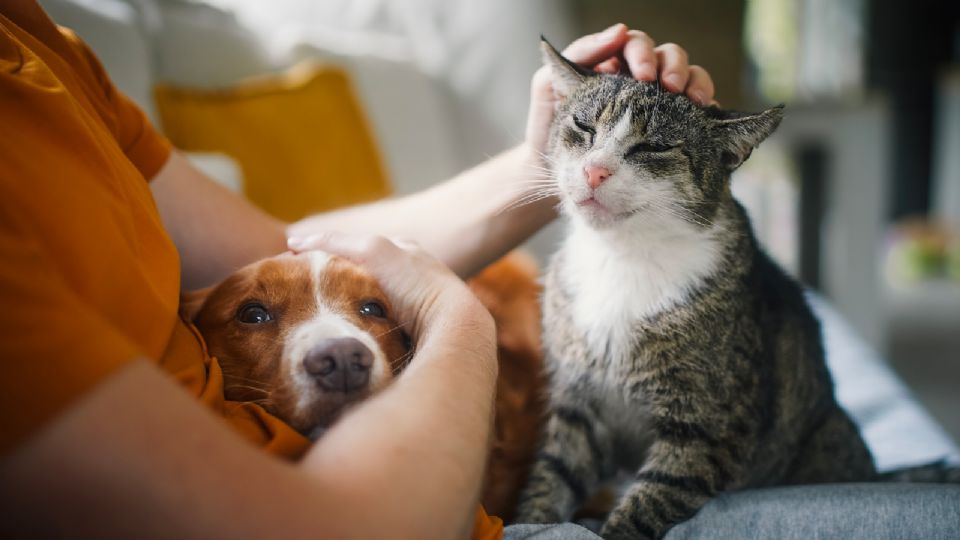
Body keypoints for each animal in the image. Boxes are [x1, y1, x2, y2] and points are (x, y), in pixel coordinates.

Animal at [512, 40, 880, 536]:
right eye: (583, 126)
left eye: (654, 146)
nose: (594, 172)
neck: (624, 257)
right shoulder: (577, 405)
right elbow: (551, 478)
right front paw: (530, 521)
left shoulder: (707, 426)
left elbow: (649, 500)